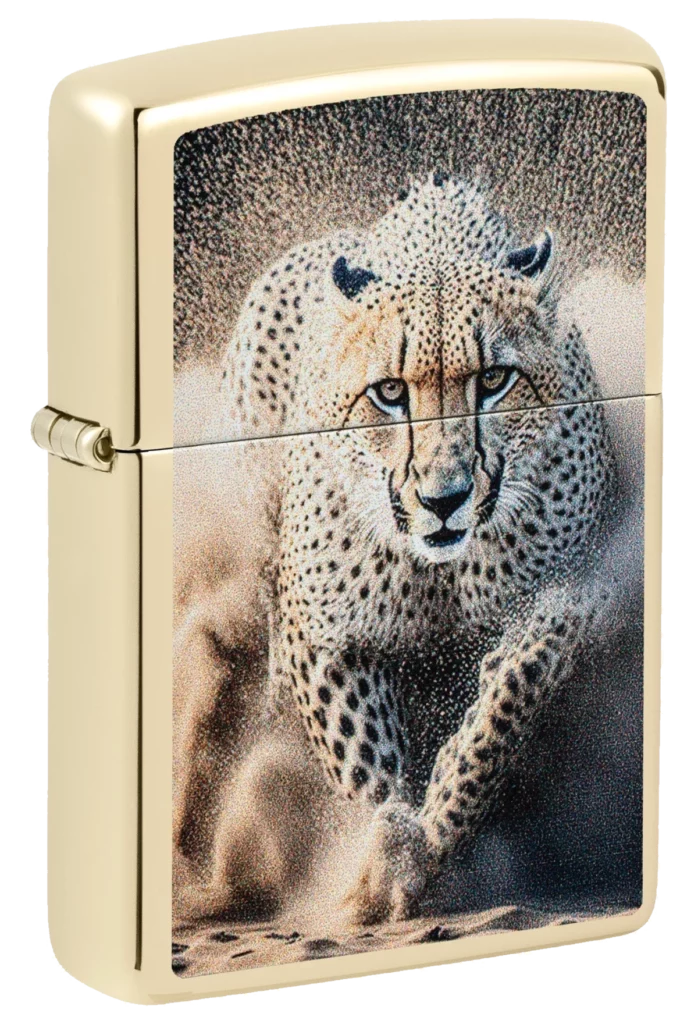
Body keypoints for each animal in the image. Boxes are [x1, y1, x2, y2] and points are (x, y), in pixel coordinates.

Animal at [173, 174, 630, 928]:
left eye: (494, 380)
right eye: (390, 392)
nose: (444, 497)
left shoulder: (587, 586)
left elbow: (520, 677)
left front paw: (442, 810)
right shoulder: (320, 632)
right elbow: (362, 757)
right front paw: (386, 861)